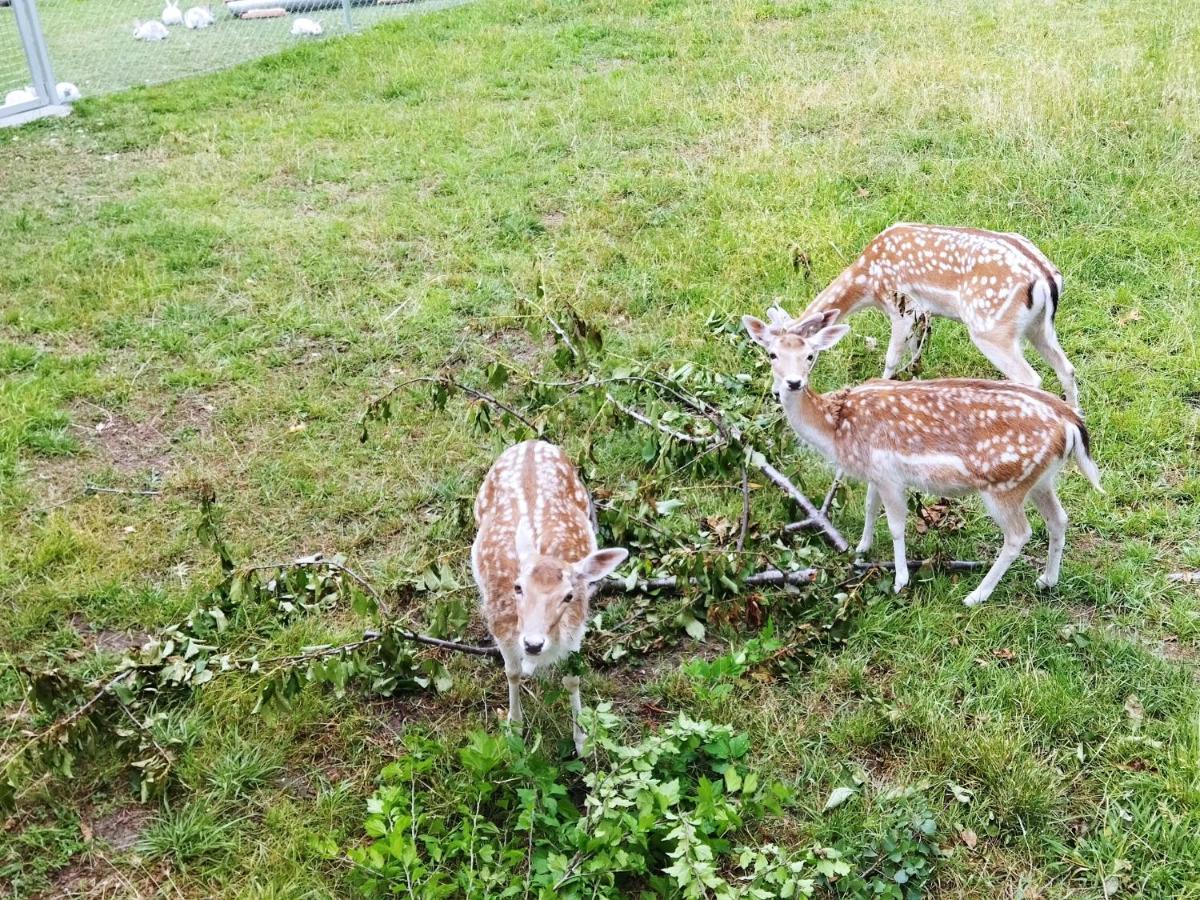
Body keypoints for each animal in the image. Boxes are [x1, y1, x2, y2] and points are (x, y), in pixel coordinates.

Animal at [472, 441, 633, 753]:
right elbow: (511, 673)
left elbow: (573, 678)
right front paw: (514, 728)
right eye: (518, 587)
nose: (533, 643)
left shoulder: (576, 627)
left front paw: (582, 741)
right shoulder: (500, 627)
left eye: (569, 596)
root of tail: (532, 443)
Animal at [744, 307, 1099, 609]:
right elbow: (870, 506)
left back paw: (976, 595)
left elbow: (896, 525)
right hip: (1039, 478)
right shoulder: (876, 472)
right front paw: (861, 548)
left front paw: (900, 579)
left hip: (1004, 483)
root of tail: (1071, 423)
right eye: (773, 354)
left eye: (810, 355)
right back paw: (1047, 580)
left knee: (1019, 534)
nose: (793, 382)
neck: (836, 428)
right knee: (1059, 518)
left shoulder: (889, 475)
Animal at [796, 224, 1080, 410]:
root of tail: (1046, 279)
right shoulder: (922, 313)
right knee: (1067, 368)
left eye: (808, 355)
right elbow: (915, 352)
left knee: (1031, 378)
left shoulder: (901, 308)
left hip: (992, 329)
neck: (866, 280)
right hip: (1039, 327)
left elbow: (892, 358)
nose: (792, 385)